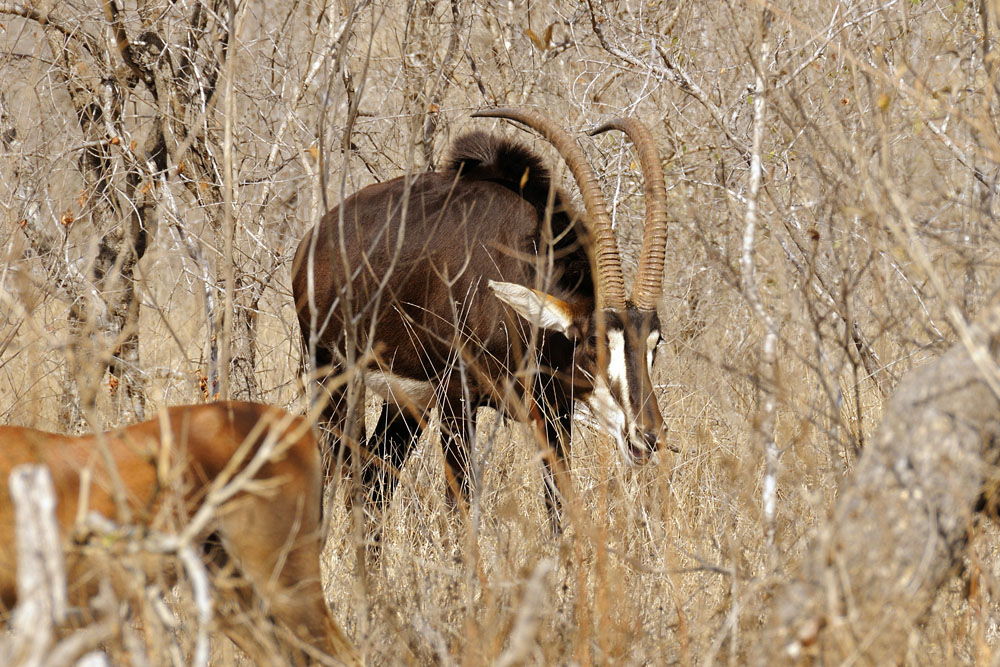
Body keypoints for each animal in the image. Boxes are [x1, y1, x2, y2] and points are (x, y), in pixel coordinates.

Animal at [292, 109, 668, 522]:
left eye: (655, 342)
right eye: (593, 340)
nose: (647, 437)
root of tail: (310, 243)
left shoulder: (555, 411)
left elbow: (557, 504)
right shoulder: (457, 401)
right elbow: (460, 505)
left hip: (405, 401)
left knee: (377, 481)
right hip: (332, 376)